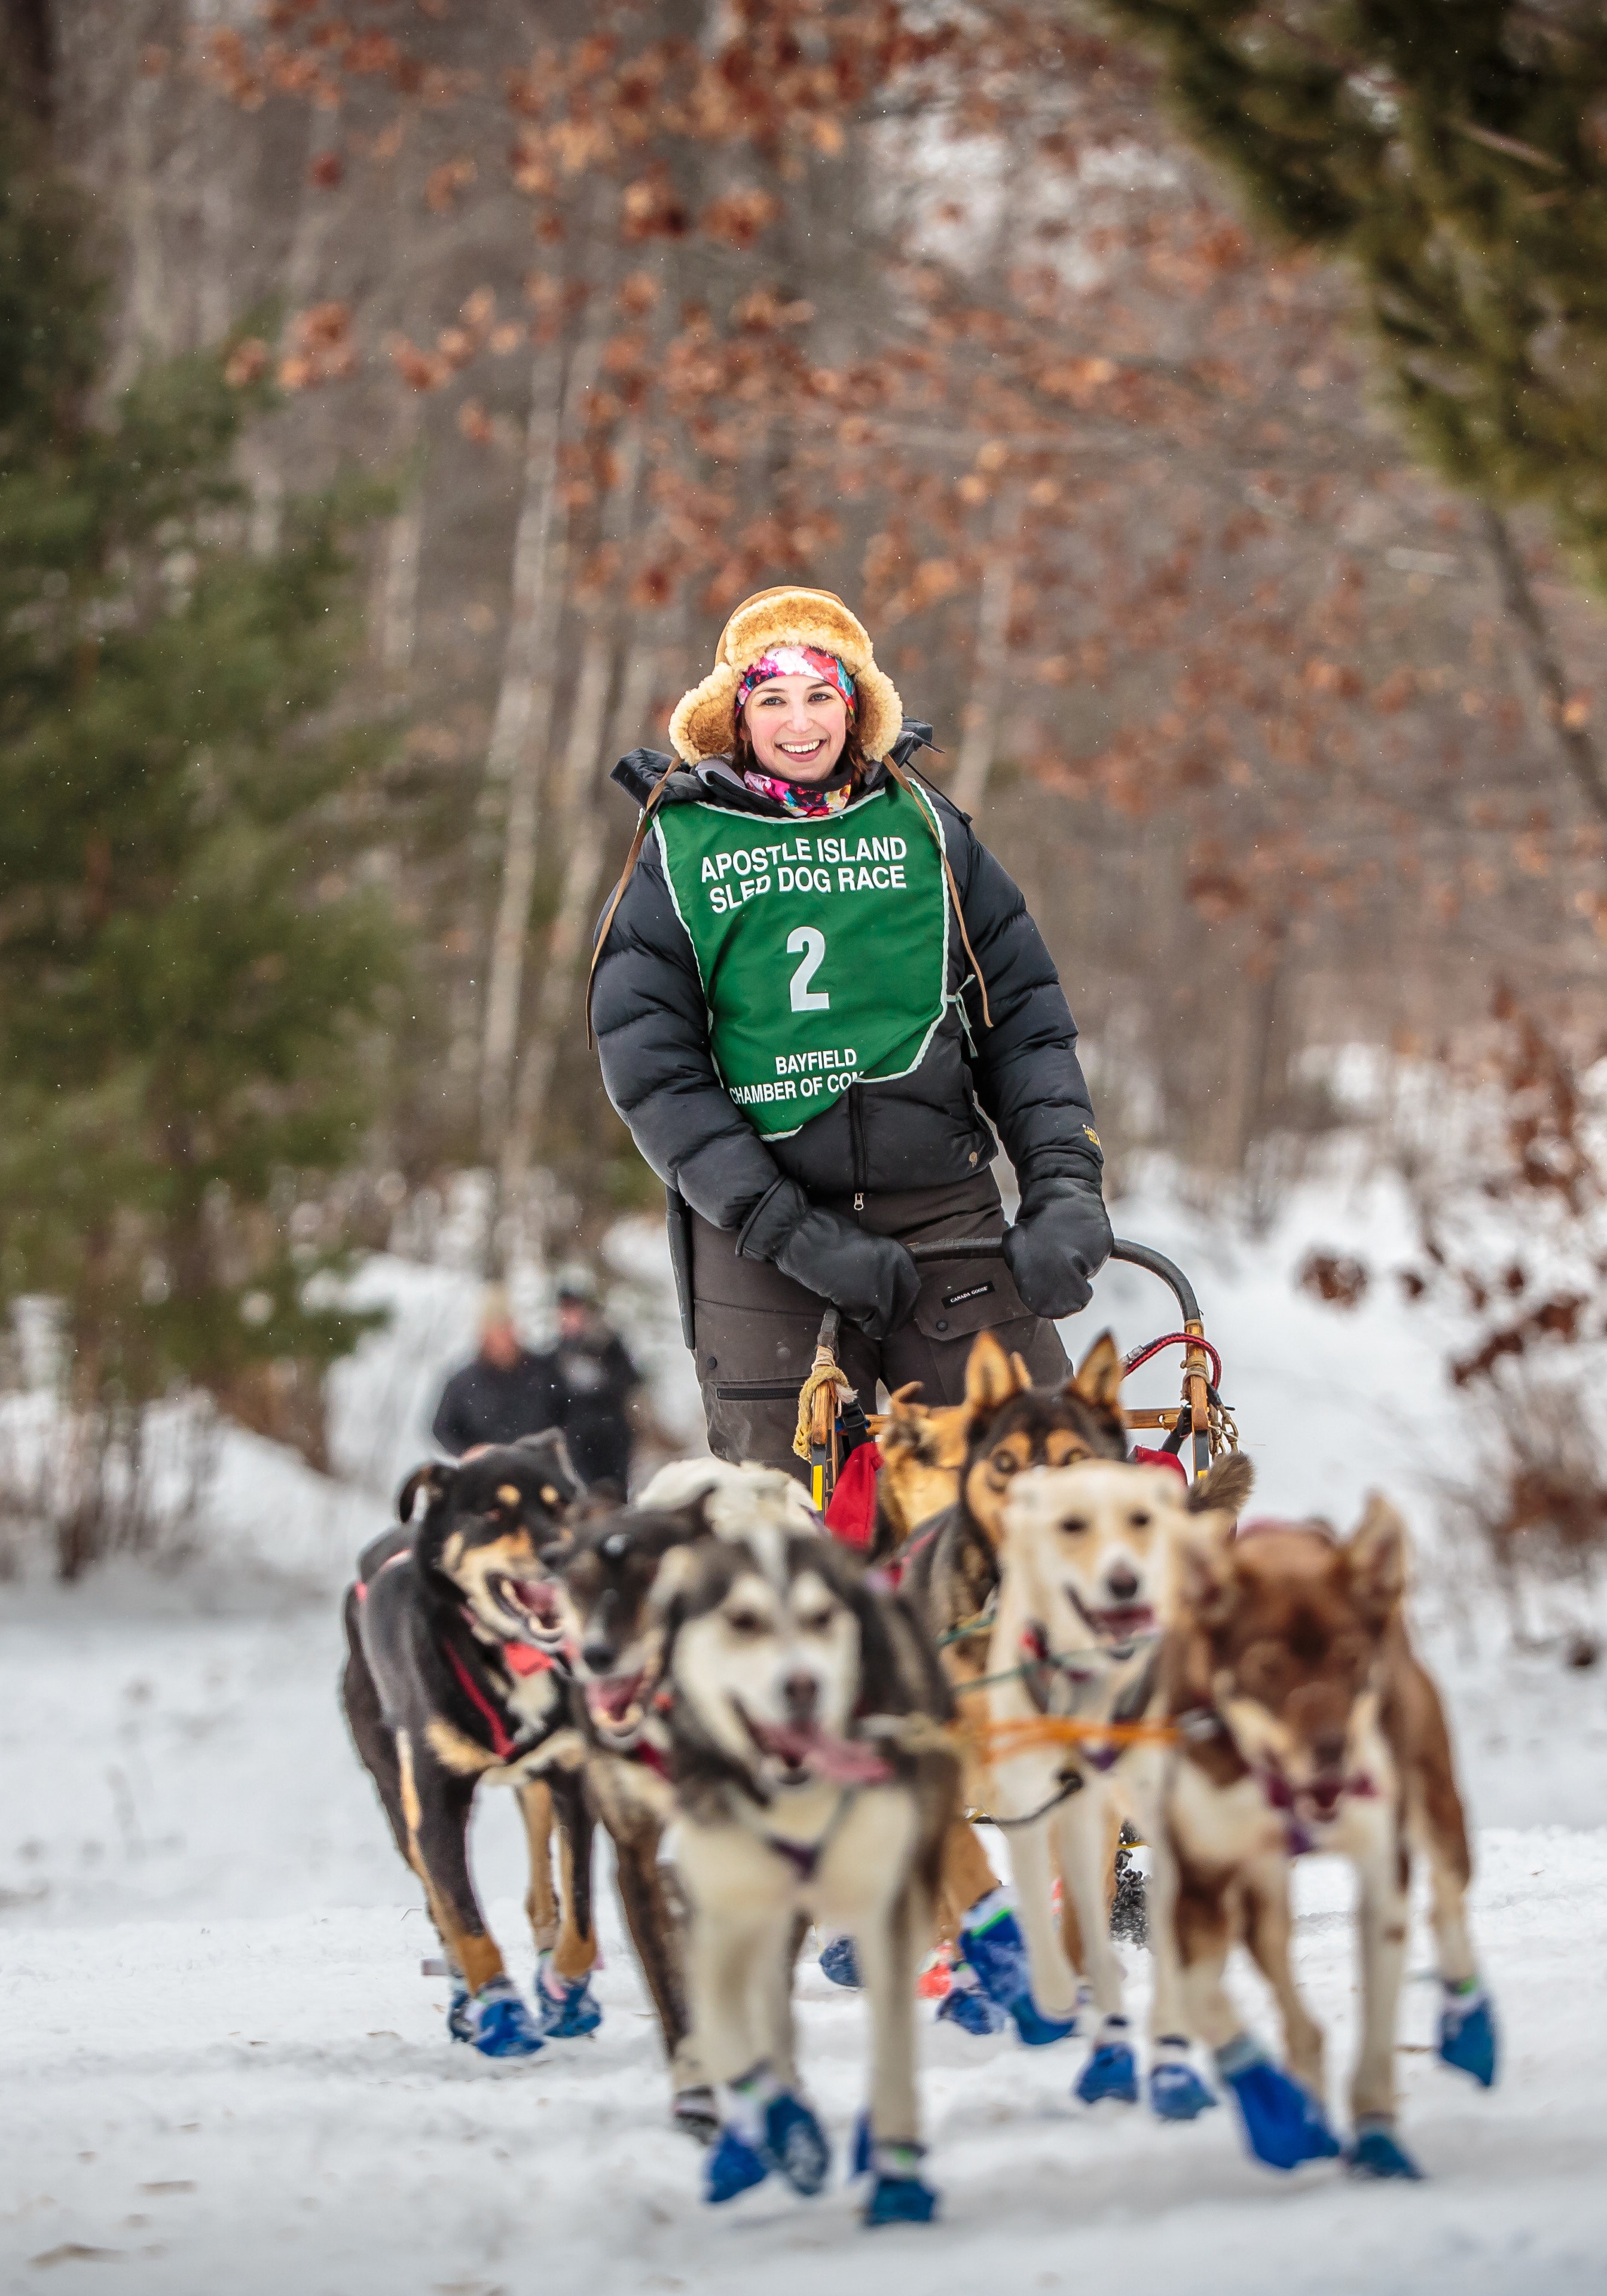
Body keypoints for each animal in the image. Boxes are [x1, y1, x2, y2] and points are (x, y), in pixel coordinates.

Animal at [342, 1433, 601, 2066]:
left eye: (561, 1504)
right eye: (494, 1514)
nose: (558, 1552)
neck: (505, 1654)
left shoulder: (571, 1779)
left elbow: (581, 1910)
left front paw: (566, 1992)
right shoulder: (434, 1803)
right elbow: (464, 1918)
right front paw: (501, 2009)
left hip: (535, 1787)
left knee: (541, 1888)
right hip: (397, 1795)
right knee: (439, 1905)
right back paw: (467, 2003)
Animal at [661, 1488, 960, 2222]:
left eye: (822, 1616)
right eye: (741, 1619)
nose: (802, 1685)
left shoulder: (888, 1904)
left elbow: (893, 2046)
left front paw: (897, 2176)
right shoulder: (719, 1914)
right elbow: (726, 2032)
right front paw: (786, 2132)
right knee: (768, 2008)